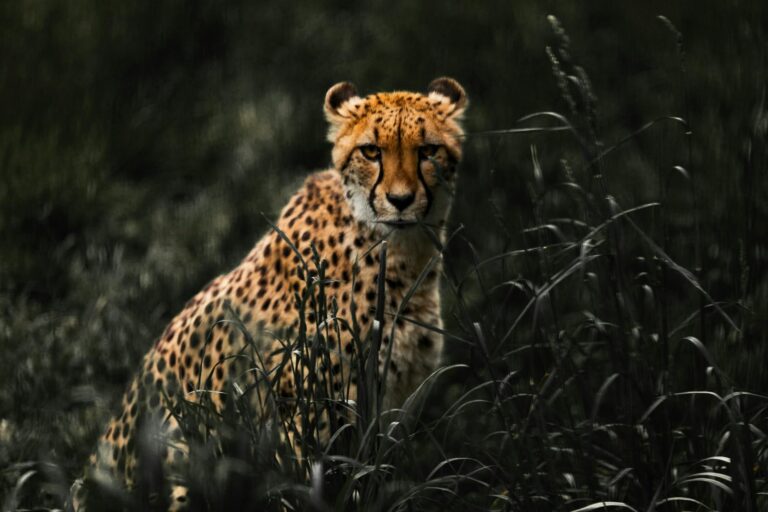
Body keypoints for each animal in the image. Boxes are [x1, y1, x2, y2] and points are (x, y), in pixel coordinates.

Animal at [71, 77, 467, 510]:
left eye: (427, 150)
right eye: (371, 151)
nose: (400, 200)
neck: (400, 253)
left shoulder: (394, 404)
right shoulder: (303, 411)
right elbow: (316, 483)